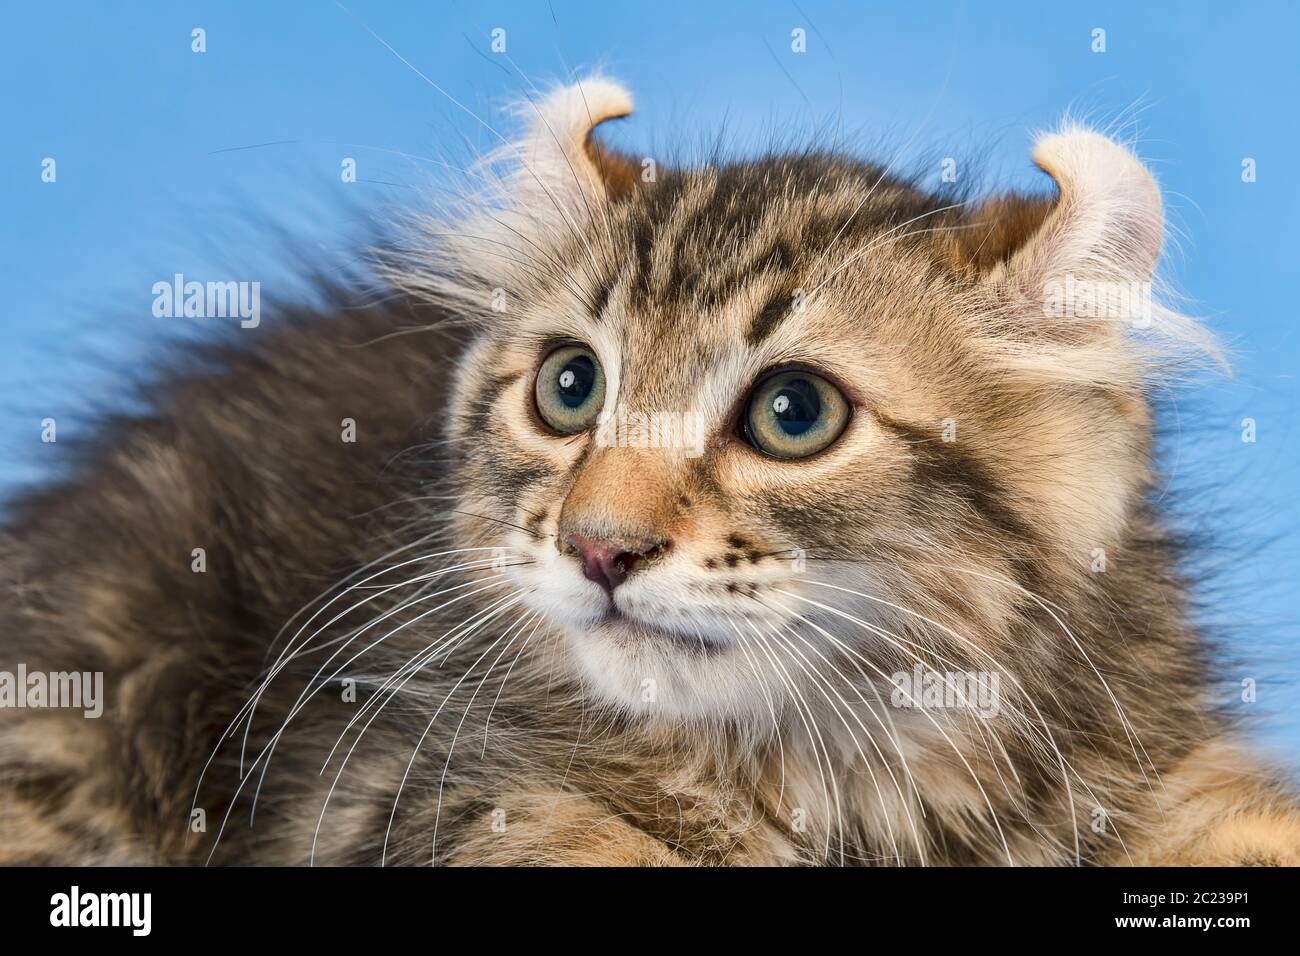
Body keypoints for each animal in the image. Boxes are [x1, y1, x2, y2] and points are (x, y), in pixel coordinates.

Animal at [2, 78, 1300, 863]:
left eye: (792, 412)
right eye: (571, 387)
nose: (598, 544)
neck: (857, 771)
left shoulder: (1159, 748)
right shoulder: (427, 789)